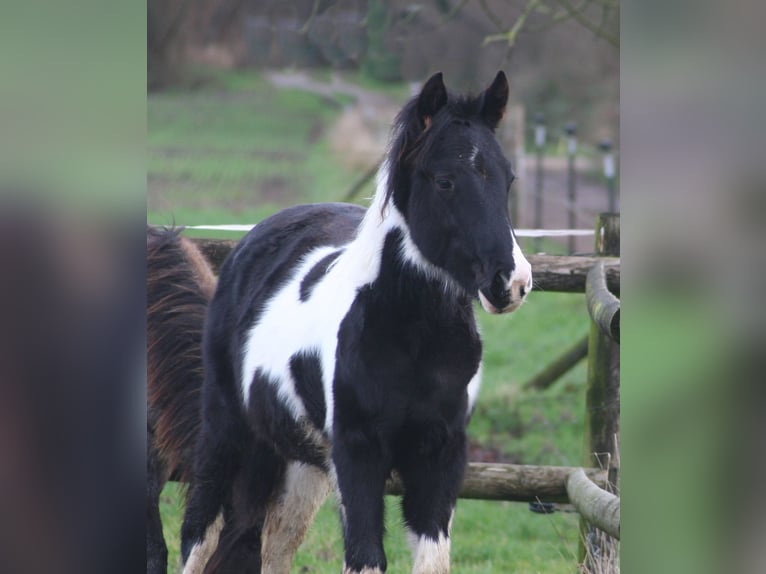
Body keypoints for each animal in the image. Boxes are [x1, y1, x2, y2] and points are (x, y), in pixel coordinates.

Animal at [183, 72, 536, 574]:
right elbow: (366, 558)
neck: (415, 343)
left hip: (302, 460)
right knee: (200, 534)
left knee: (275, 547)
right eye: (445, 181)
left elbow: (432, 559)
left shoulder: (440, 456)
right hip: (224, 433)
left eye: (507, 178)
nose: (512, 282)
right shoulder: (358, 455)